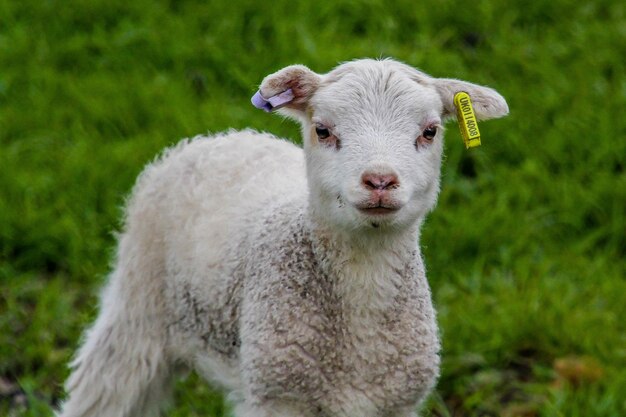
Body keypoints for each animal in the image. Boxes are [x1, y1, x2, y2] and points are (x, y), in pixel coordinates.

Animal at [58, 58, 508, 416]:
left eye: (430, 132)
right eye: (322, 130)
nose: (379, 181)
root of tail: (219, 138)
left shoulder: (395, 402)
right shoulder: (279, 395)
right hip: (138, 304)